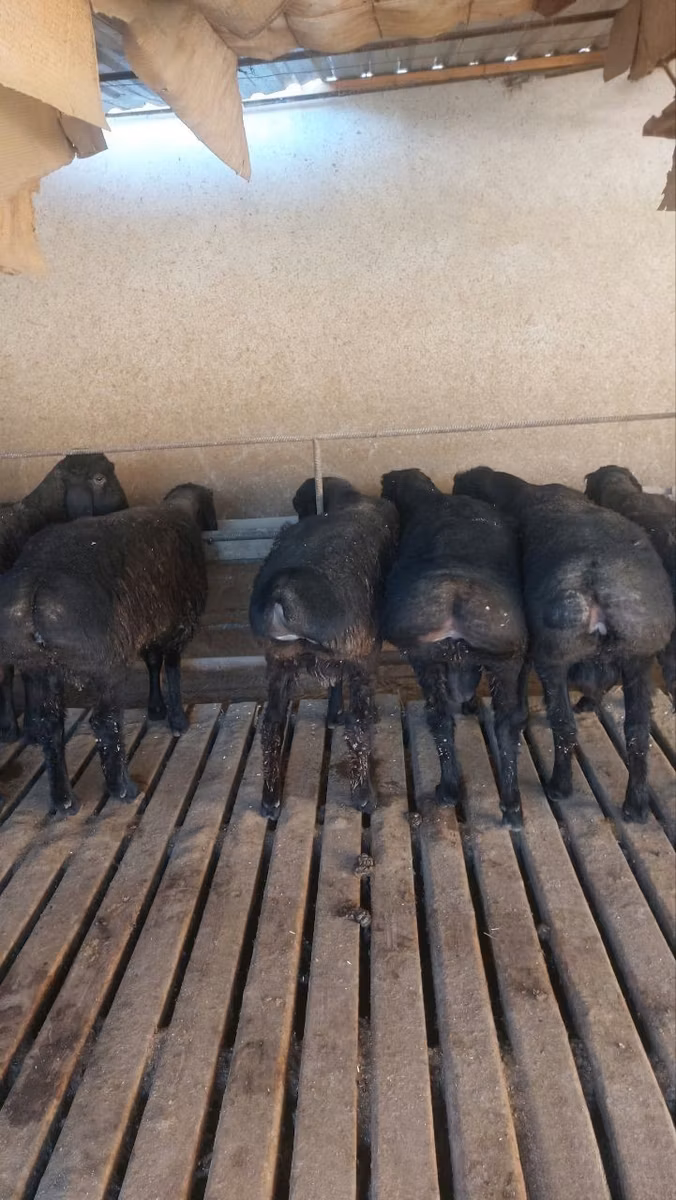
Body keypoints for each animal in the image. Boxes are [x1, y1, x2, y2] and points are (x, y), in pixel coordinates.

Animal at [0, 483, 217, 814]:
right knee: (104, 724)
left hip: (41, 668)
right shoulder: (180, 624)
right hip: (105, 666)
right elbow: (172, 669)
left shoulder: (150, 626)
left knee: (51, 726)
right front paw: (178, 719)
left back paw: (64, 800)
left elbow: (152, 663)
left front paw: (156, 709)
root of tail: (34, 594)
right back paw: (123, 788)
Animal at [249, 476, 398, 818]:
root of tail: (283, 595)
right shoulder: (359, 653)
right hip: (358, 655)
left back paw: (270, 799)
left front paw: (332, 715)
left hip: (277, 659)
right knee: (358, 726)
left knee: (271, 724)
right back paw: (364, 796)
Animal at [381, 469, 528, 827]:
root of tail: (455, 601)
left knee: (443, 717)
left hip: (430, 657)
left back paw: (454, 790)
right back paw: (508, 804)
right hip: (501, 658)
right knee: (502, 723)